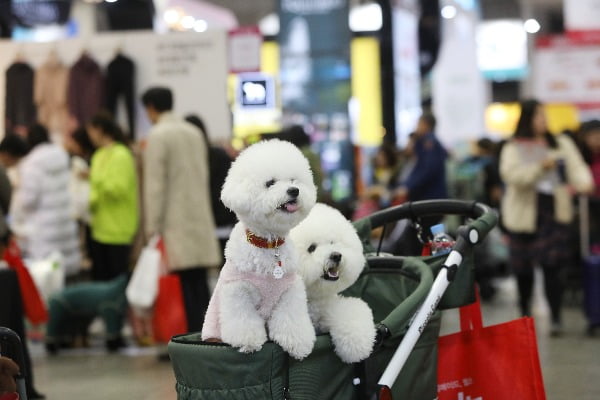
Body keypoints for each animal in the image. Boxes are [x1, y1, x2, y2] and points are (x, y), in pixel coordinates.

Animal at [203, 138, 318, 360]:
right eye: (270, 183)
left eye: (294, 180)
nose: (294, 191)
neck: (269, 243)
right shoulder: (238, 292)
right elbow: (243, 321)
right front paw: (248, 343)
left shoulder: (289, 292)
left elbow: (291, 320)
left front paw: (298, 344)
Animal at [290, 205, 376, 364]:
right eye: (311, 248)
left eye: (332, 242)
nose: (336, 256)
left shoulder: (329, 308)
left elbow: (350, 313)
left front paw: (357, 347)